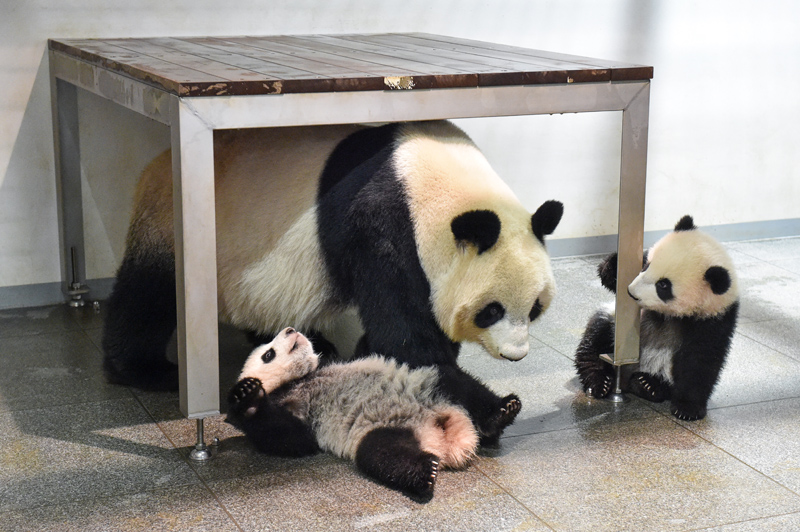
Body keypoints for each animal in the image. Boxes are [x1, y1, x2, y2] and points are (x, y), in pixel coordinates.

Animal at [101, 120, 564, 390]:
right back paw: (141, 369)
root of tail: (155, 166)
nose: (515, 355)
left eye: (535, 308)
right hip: (172, 224)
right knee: (148, 292)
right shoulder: (383, 222)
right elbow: (405, 333)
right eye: (491, 310)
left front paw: (362, 349)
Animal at [227, 326, 520, 500]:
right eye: (268, 354)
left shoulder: (339, 360)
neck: (304, 377)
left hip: (431, 385)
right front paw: (247, 395)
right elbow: (288, 438)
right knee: (382, 455)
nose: (290, 329)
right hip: (381, 430)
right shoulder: (300, 411)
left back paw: (503, 412)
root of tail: (448, 438)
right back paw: (425, 473)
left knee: (460, 384)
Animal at [576, 215, 736, 420]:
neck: (669, 313)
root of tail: (624, 382)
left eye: (663, 285)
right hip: (612, 321)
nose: (630, 292)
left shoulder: (715, 317)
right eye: (646, 266)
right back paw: (599, 380)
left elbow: (701, 359)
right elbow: (606, 275)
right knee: (596, 335)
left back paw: (648, 385)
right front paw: (615, 266)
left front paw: (688, 409)